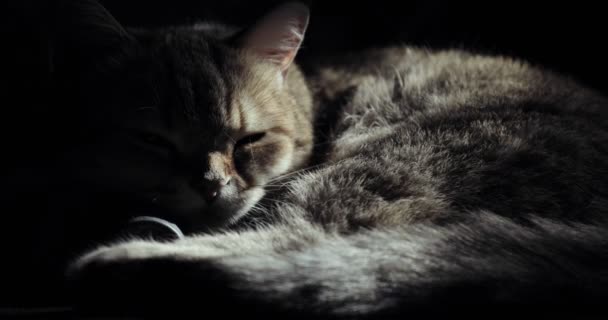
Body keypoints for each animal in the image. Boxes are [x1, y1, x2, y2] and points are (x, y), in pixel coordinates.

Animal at [22, 0, 608, 318]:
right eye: (153, 141)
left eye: (249, 140)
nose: (211, 185)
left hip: (382, 167)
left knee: (317, 245)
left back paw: (127, 258)